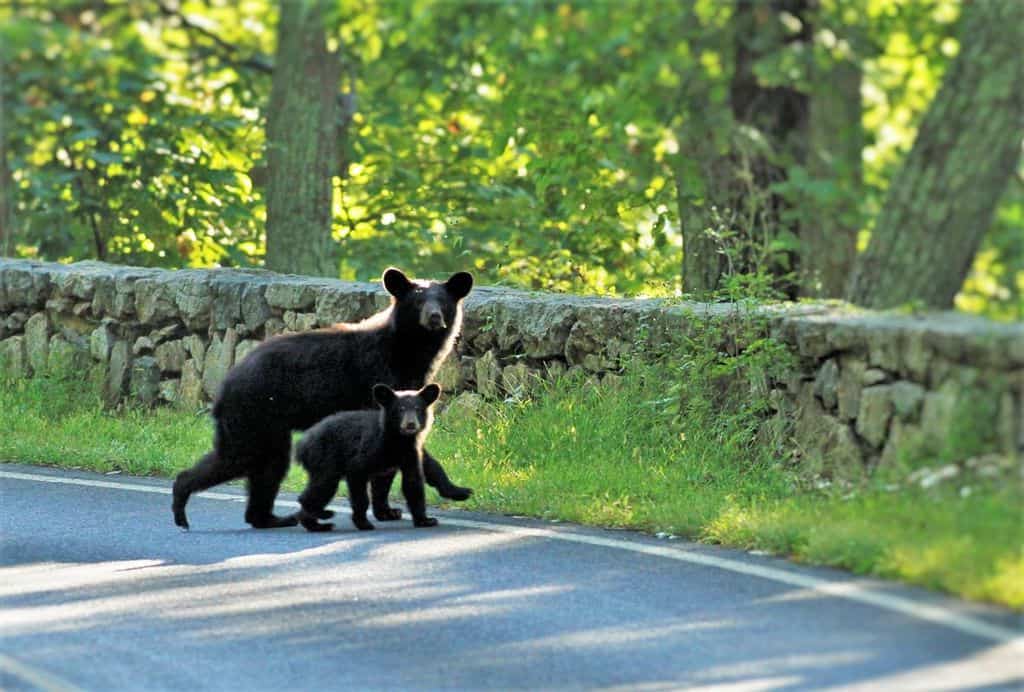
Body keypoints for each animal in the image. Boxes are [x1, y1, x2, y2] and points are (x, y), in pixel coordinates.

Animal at [296, 380, 440, 532]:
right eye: (400, 409)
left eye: (417, 409)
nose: (410, 424)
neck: (398, 441)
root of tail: (302, 444)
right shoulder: (369, 450)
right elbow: (358, 480)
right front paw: (363, 523)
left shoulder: (410, 454)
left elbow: (412, 484)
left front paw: (426, 520)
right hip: (324, 458)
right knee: (322, 487)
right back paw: (322, 516)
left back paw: (316, 524)